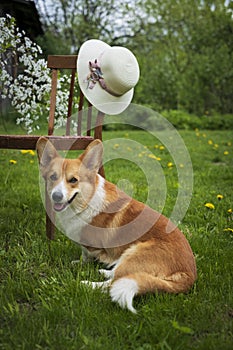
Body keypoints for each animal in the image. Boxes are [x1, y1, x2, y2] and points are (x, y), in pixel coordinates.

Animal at [36, 137, 197, 314]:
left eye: (73, 180)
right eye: (53, 177)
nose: (56, 196)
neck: (86, 201)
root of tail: (188, 274)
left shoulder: (92, 244)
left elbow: (88, 254)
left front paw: (85, 265)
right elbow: (84, 255)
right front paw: (80, 263)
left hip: (133, 252)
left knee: (114, 283)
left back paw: (88, 284)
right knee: (117, 276)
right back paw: (105, 271)